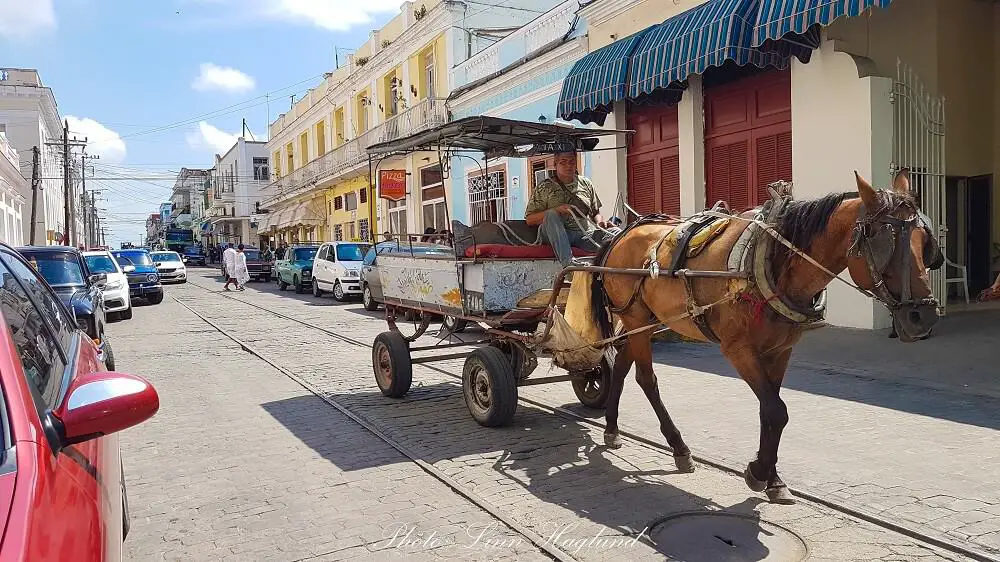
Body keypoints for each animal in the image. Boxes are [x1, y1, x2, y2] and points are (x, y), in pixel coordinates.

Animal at [572, 168, 944, 500]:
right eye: (883, 240)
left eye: (924, 241)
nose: (922, 315)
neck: (774, 262)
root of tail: (622, 233)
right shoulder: (738, 349)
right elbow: (777, 411)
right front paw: (758, 472)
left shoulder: (780, 350)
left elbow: (771, 410)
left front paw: (773, 479)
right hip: (635, 318)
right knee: (646, 379)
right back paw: (678, 447)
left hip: (646, 320)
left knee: (621, 365)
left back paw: (612, 428)